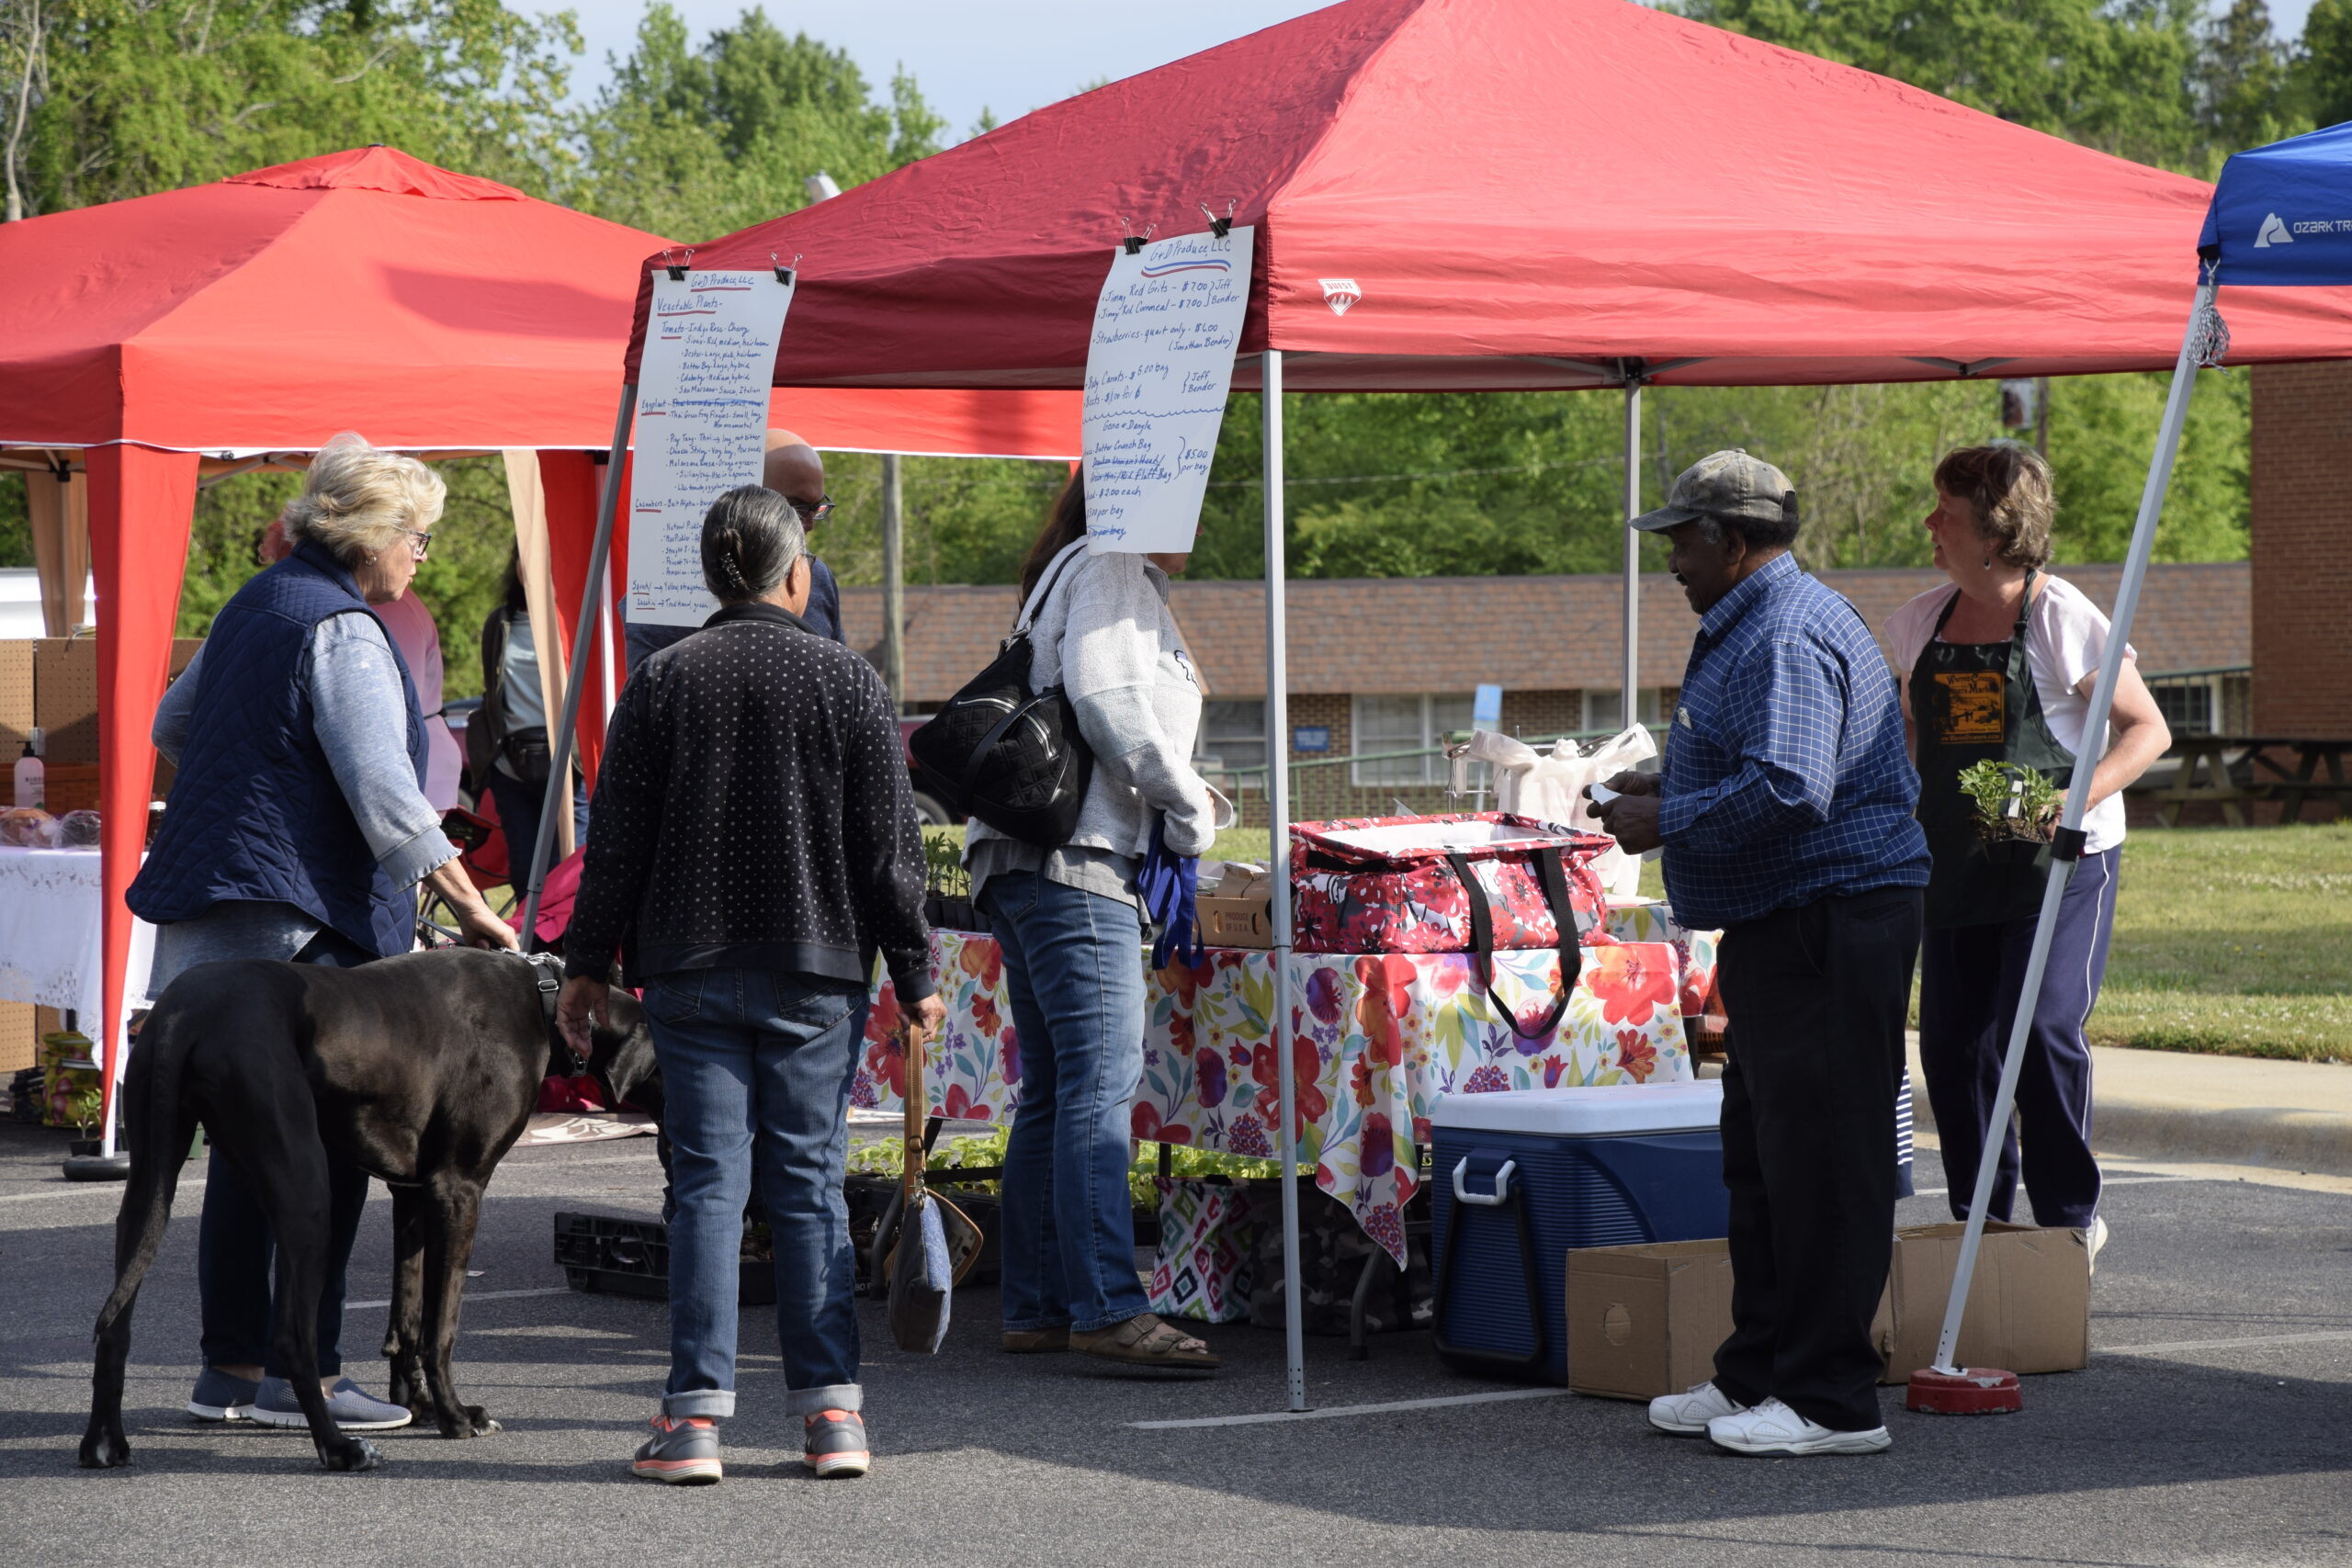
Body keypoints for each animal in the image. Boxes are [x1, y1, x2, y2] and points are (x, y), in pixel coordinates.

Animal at [83, 949, 653, 1476]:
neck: (543, 998)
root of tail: (185, 1011)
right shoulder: (459, 1189)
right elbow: (441, 1326)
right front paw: (454, 1416)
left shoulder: (413, 1195)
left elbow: (408, 1317)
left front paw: (418, 1406)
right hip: (308, 1191)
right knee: (292, 1337)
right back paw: (339, 1448)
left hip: (148, 1184)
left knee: (115, 1324)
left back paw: (104, 1442)